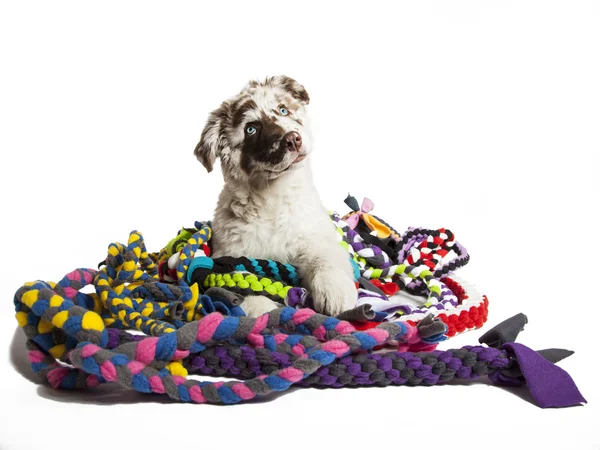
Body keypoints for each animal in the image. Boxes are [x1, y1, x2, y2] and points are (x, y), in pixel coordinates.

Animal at [195, 75, 358, 316]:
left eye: (283, 110)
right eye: (251, 129)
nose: (293, 139)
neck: (273, 199)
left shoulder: (315, 236)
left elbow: (325, 258)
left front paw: (334, 290)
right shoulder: (229, 254)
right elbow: (243, 284)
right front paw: (263, 311)